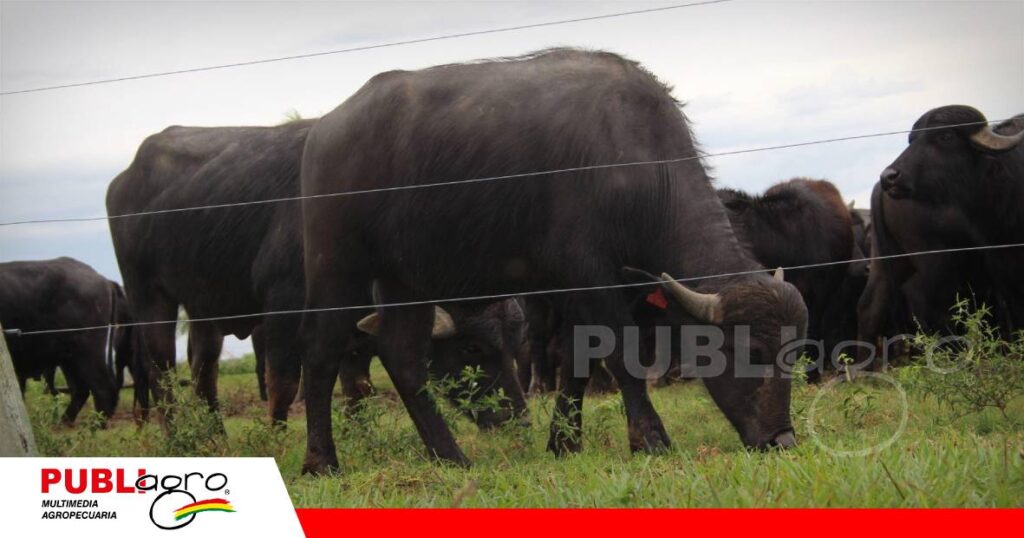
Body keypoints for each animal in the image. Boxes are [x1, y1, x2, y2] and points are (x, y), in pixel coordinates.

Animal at [299, 49, 807, 474]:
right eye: (751, 352)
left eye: (793, 353)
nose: (782, 440)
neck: (635, 169)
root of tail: (324, 131)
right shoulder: (588, 277)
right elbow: (620, 353)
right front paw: (650, 439)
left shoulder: (583, 289)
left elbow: (578, 360)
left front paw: (564, 443)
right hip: (336, 266)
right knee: (322, 353)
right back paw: (321, 461)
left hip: (405, 280)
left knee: (401, 355)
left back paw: (449, 456)